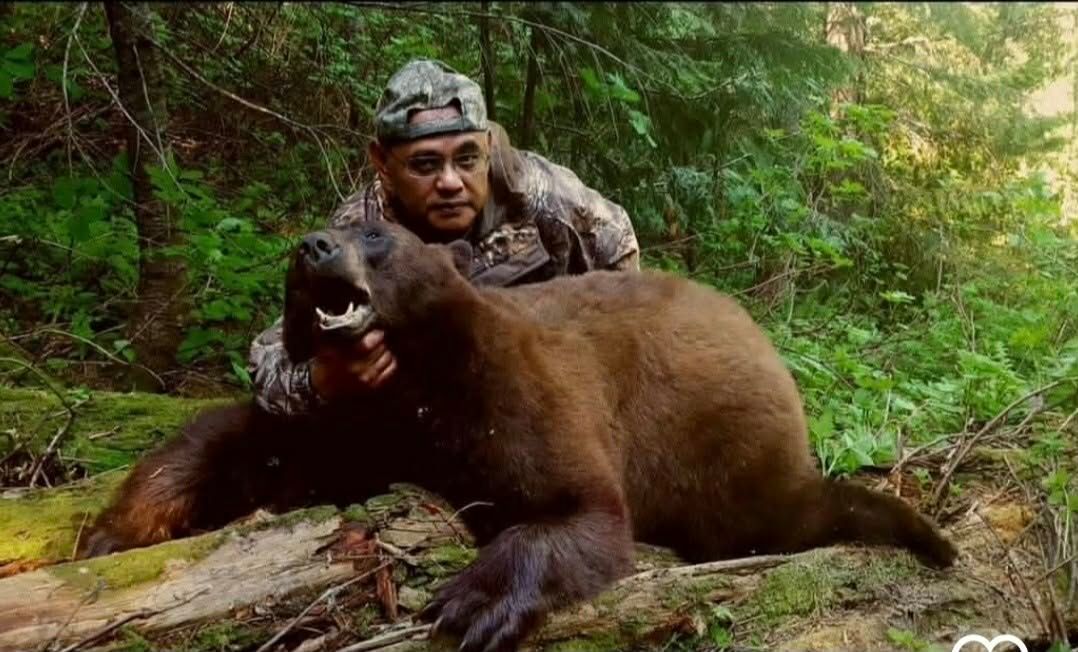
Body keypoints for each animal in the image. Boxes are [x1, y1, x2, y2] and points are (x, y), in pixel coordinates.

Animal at [78, 220, 957, 652]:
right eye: (305, 251)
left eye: (377, 240)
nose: (313, 247)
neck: (410, 381)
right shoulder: (359, 424)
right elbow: (250, 445)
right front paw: (116, 530)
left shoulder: (509, 385)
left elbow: (581, 507)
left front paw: (475, 600)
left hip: (727, 441)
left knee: (778, 513)